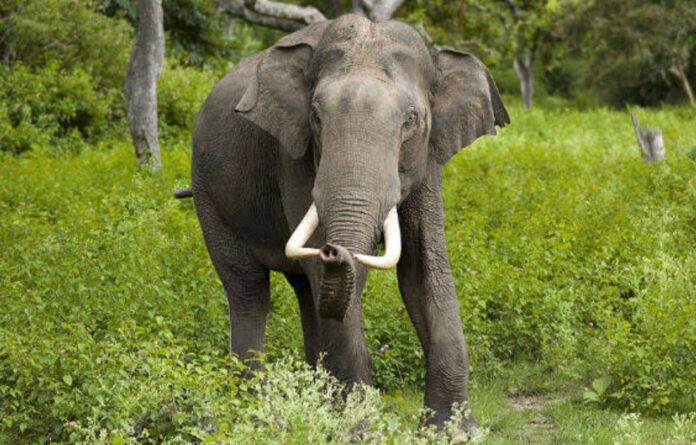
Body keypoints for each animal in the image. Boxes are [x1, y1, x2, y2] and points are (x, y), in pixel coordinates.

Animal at [190, 14, 509, 438]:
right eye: (316, 117)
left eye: (411, 120)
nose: (333, 250)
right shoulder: (294, 155)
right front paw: (359, 431)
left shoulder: (428, 159)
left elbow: (424, 270)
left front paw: (455, 432)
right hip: (207, 195)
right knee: (248, 289)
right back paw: (254, 414)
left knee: (306, 292)